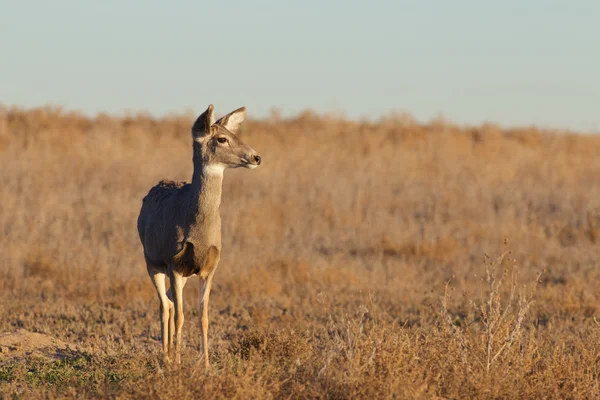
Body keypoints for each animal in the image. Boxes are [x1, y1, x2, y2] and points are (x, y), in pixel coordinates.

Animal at [137, 104, 262, 368]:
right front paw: (178, 362)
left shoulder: (209, 267)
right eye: (222, 138)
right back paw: (166, 357)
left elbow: (203, 315)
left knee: (170, 302)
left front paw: (205, 365)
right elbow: (181, 315)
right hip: (151, 261)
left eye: (234, 133)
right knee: (165, 306)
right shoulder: (173, 262)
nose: (256, 157)